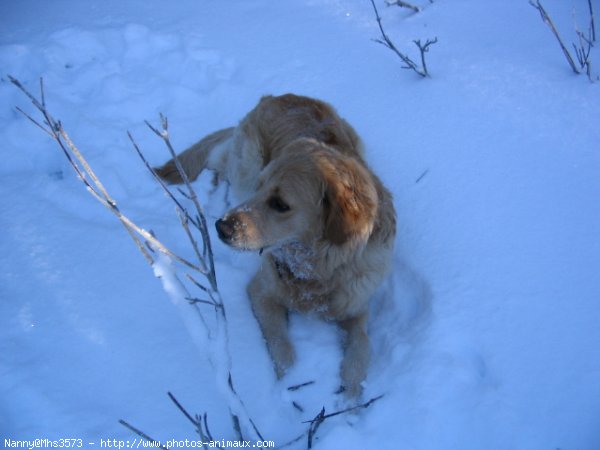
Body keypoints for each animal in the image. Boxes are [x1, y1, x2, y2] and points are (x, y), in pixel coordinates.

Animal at [157, 95, 396, 398]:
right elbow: (282, 347)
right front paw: (293, 386)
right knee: (219, 159)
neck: (316, 269)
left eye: (280, 204)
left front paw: (350, 400)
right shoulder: (262, 292)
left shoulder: (357, 309)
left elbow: (360, 350)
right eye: (262, 187)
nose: (221, 227)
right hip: (245, 168)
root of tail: (276, 96)